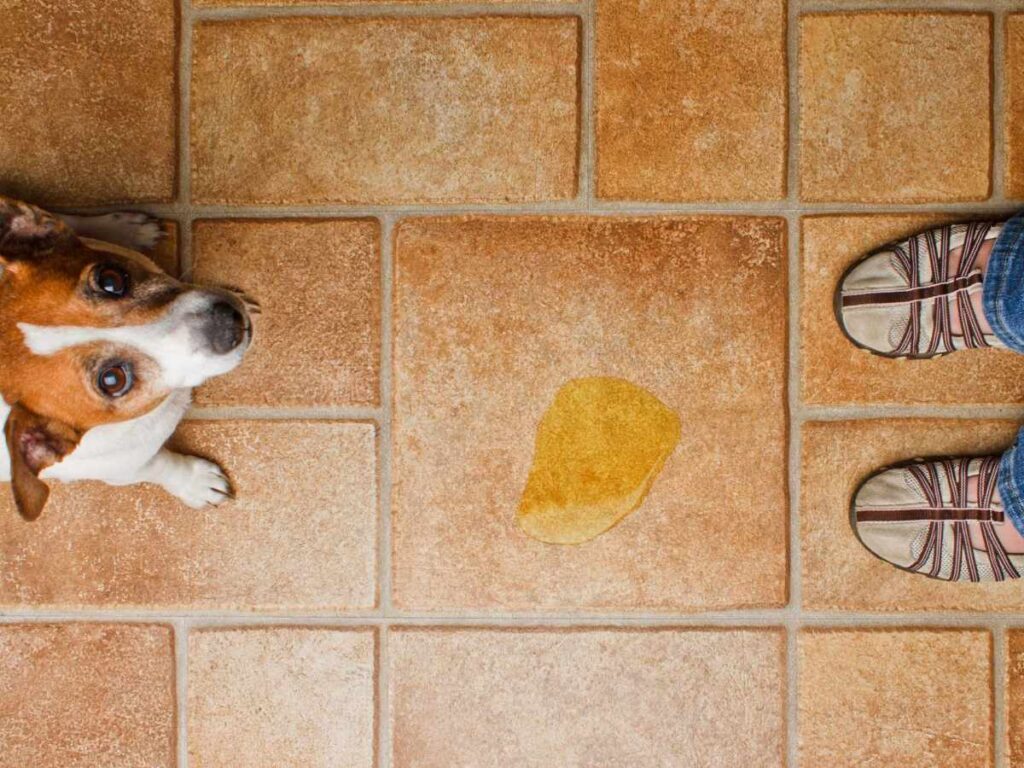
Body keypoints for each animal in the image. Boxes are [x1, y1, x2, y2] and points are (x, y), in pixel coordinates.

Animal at [0, 196, 254, 524]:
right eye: (112, 380)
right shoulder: (123, 468)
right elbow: (162, 465)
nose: (229, 323)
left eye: (110, 280)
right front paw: (195, 483)